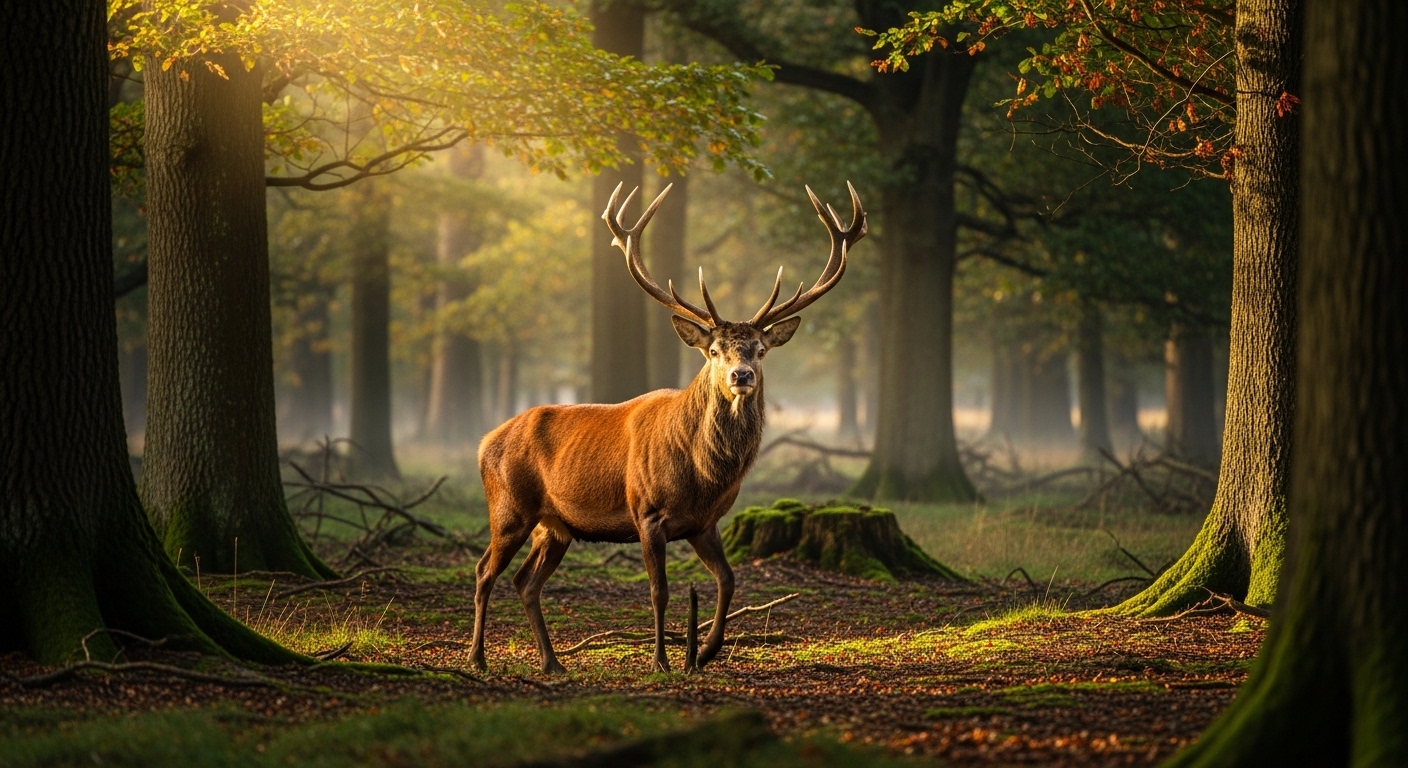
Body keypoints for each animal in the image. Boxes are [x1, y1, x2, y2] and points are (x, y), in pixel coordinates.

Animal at [469, 181, 867, 674]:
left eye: (759, 349)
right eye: (714, 351)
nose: (741, 376)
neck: (702, 476)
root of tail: (484, 441)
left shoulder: (704, 523)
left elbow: (729, 580)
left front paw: (706, 652)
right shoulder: (647, 512)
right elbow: (659, 591)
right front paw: (661, 660)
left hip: (555, 525)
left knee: (526, 581)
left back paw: (552, 662)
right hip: (510, 507)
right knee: (484, 570)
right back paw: (478, 657)